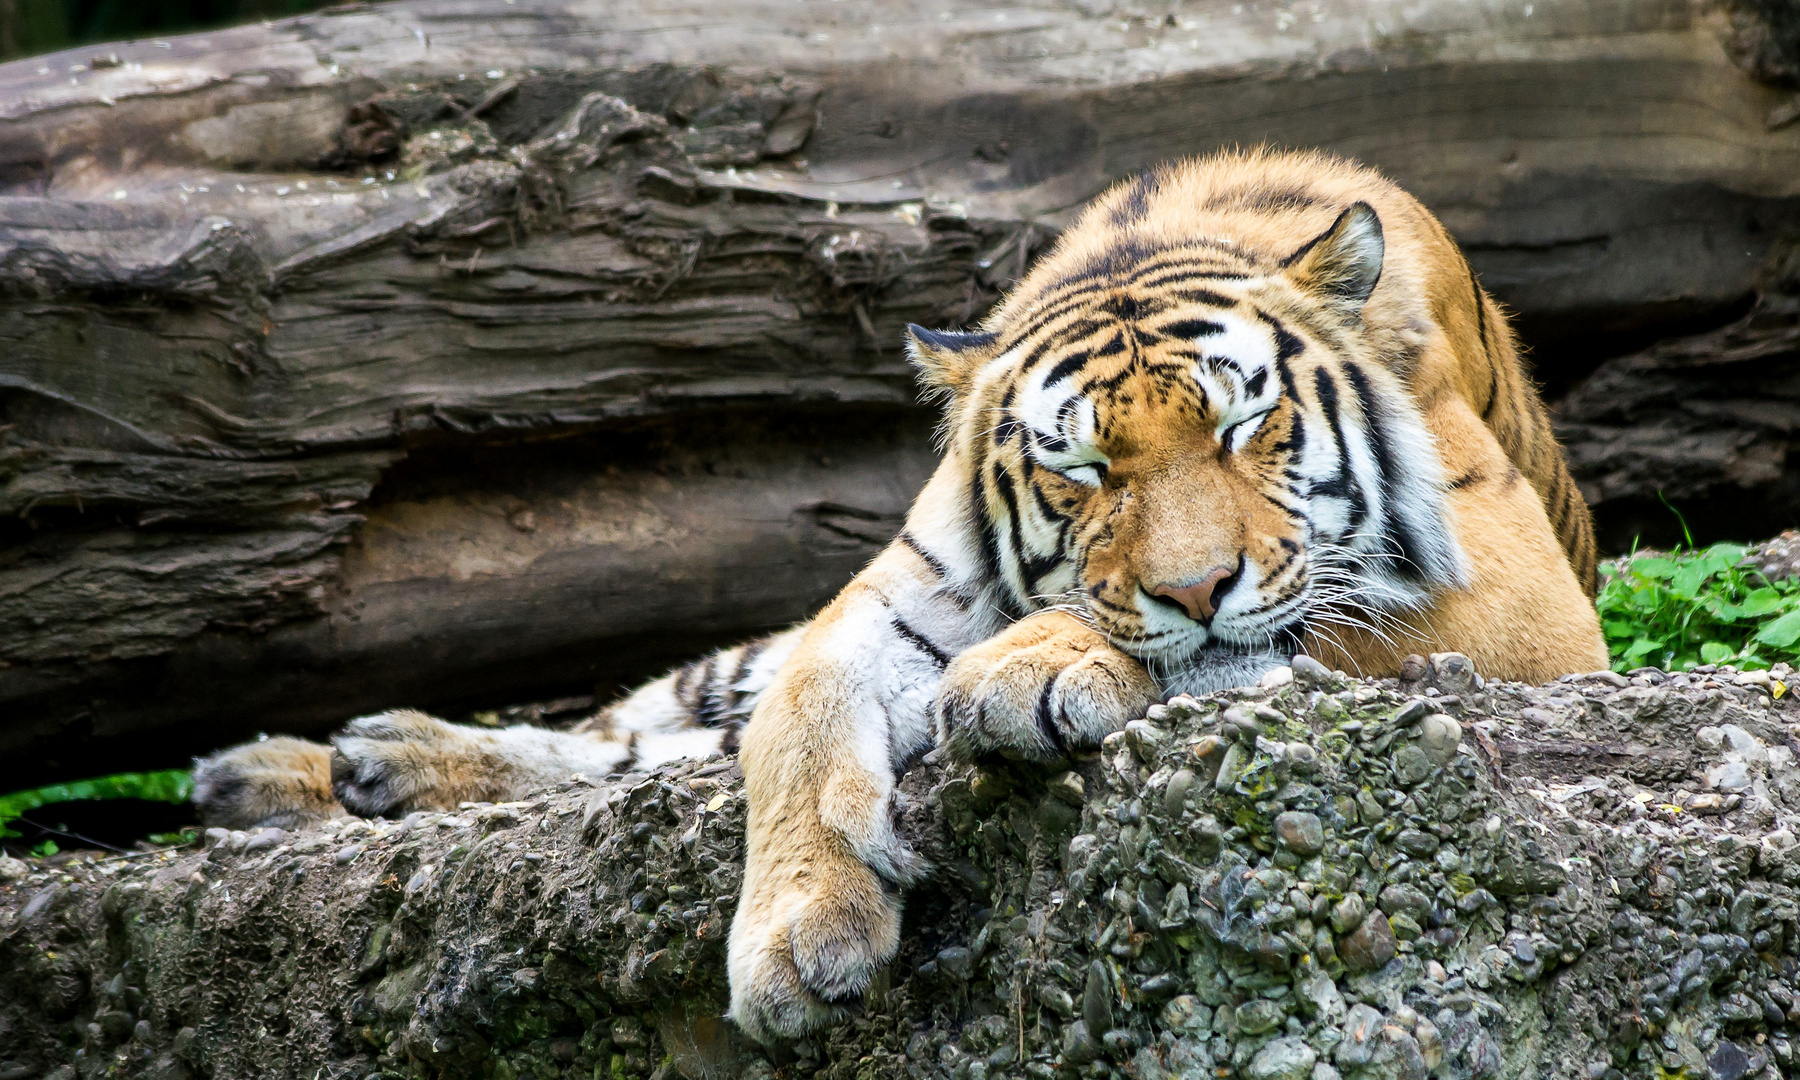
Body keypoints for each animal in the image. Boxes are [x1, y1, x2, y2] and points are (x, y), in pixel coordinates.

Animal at [193, 145, 1605, 1044]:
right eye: (1082, 468)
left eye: (1245, 427)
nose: (1196, 588)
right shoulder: (886, 599)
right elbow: (796, 719)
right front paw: (794, 938)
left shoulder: (1526, 599)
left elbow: (1317, 619)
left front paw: (1036, 667)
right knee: (634, 735)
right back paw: (310, 769)